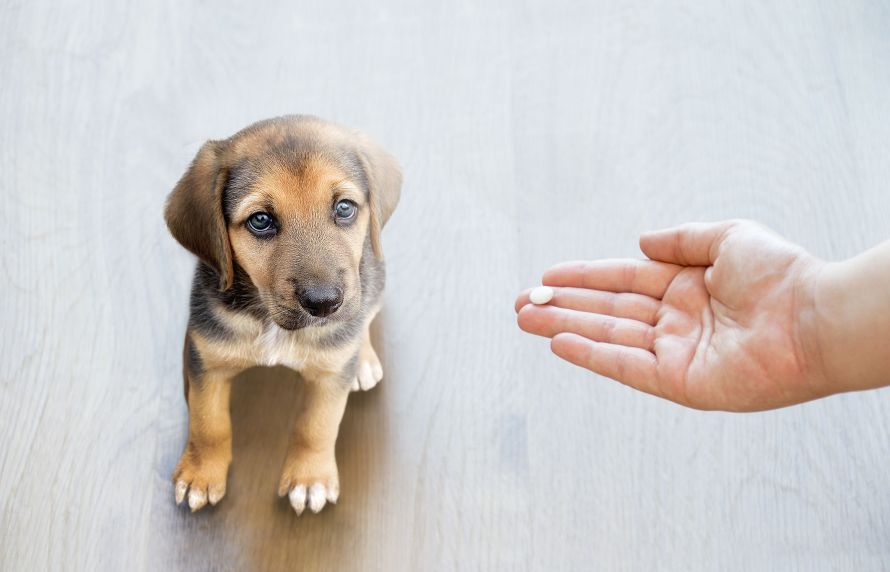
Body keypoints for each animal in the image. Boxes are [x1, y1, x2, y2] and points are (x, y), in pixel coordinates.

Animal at [165, 115, 400, 512]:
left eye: (344, 208)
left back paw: (363, 359)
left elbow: (317, 425)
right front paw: (201, 473)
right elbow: (208, 422)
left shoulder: (330, 376)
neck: (271, 323)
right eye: (260, 220)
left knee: (365, 315)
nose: (324, 303)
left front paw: (309, 479)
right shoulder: (206, 360)